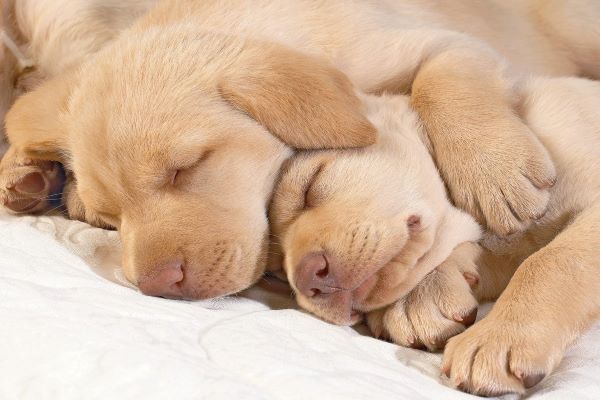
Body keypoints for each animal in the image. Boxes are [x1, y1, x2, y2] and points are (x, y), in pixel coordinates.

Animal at [270, 76, 600, 396]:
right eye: (275, 275)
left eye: (310, 186)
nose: (307, 280)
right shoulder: (504, 249)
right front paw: (421, 297)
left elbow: (550, 260)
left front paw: (497, 335)